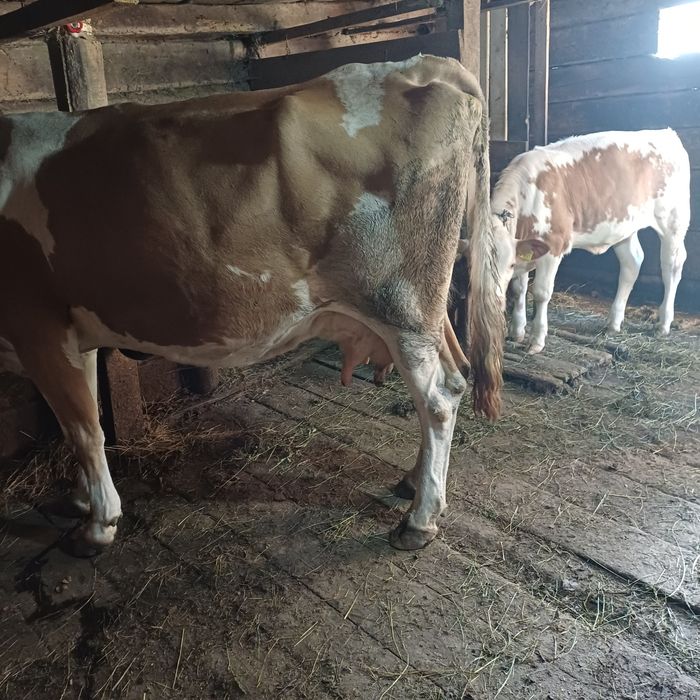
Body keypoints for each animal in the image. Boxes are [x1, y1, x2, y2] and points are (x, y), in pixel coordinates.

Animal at [0, 55, 504, 554]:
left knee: (437, 399)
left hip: (401, 305)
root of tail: (418, 66)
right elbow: (83, 413)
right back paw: (413, 483)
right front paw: (82, 498)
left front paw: (99, 523)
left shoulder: (36, 323)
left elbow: (83, 428)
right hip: (424, 310)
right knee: (455, 375)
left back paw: (419, 520)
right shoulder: (69, 328)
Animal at [487, 129, 691, 353]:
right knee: (632, 262)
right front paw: (517, 331)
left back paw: (663, 323)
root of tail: (665, 133)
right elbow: (519, 289)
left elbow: (541, 292)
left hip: (674, 221)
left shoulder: (554, 245)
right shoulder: (526, 245)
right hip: (625, 225)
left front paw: (537, 340)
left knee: (672, 267)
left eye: (508, 264)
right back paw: (613, 323)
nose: (493, 299)